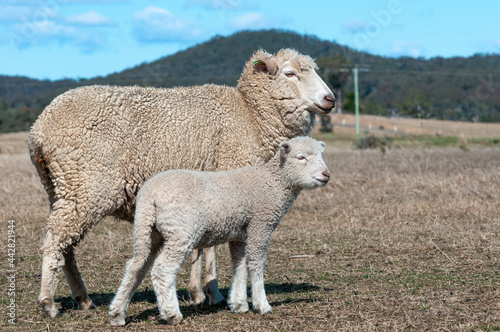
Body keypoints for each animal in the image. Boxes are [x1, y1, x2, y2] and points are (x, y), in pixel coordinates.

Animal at [107, 136, 330, 326]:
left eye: (321, 155)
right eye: (301, 157)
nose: (326, 174)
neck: (272, 183)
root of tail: (149, 194)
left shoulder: (240, 234)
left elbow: (239, 266)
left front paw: (239, 304)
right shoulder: (260, 225)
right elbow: (256, 265)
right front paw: (262, 305)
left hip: (148, 231)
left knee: (136, 266)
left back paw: (118, 314)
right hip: (181, 231)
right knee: (163, 269)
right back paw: (172, 314)